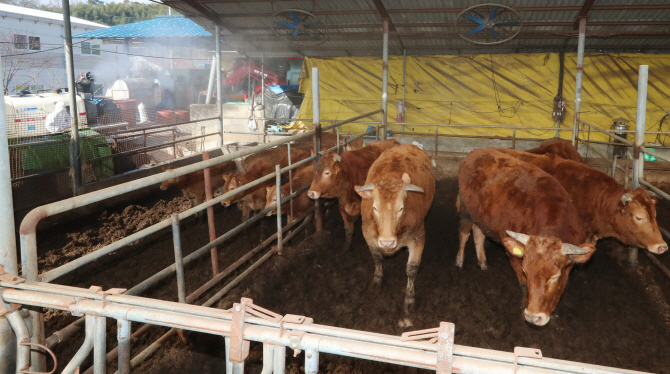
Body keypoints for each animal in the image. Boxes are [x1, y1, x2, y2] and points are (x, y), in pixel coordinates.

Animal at [356, 143, 436, 316]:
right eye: (374, 207)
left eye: (401, 208)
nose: (387, 242)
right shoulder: (367, 233)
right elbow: (376, 258)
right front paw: (377, 280)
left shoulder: (418, 237)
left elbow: (412, 268)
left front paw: (410, 298)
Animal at [460, 149, 596, 324]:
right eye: (526, 271)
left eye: (555, 276)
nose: (533, 317)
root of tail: (476, 152)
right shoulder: (513, 256)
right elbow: (523, 284)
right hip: (466, 210)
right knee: (464, 233)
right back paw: (459, 260)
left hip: (480, 217)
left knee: (478, 233)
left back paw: (482, 261)